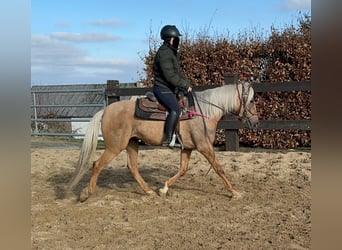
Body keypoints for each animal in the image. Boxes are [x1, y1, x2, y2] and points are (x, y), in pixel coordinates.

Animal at [66, 82, 260, 201]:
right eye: (251, 100)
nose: (256, 122)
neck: (203, 112)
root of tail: (106, 110)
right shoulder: (204, 146)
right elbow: (219, 168)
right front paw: (234, 192)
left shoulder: (187, 148)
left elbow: (183, 169)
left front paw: (164, 189)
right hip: (115, 146)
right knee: (97, 164)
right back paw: (86, 194)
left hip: (132, 143)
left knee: (132, 167)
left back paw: (149, 191)